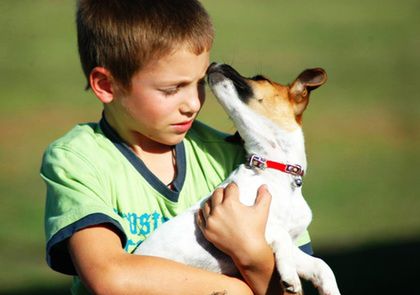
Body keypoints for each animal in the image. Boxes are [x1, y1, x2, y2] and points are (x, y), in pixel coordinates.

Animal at [137, 63, 342, 295]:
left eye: (260, 78)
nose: (215, 63)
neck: (276, 174)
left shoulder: (290, 244)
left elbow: (321, 265)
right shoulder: (252, 225)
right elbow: (280, 233)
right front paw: (290, 277)